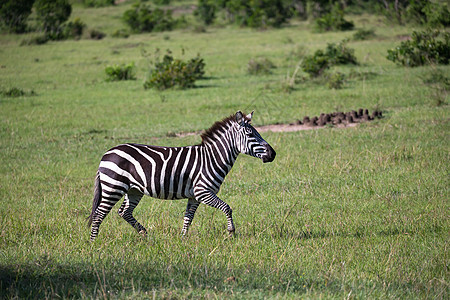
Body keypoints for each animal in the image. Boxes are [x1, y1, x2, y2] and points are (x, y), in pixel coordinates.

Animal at [87, 110, 276, 241]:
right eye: (251, 134)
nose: (273, 154)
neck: (212, 158)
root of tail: (106, 154)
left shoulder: (194, 195)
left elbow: (188, 217)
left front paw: (183, 238)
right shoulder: (203, 191)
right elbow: (227, 207)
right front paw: (231, 232)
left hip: (133, 190)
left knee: (124, 212)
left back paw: (144, 232)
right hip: (114, 186)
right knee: (99, 214)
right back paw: (93, 243)